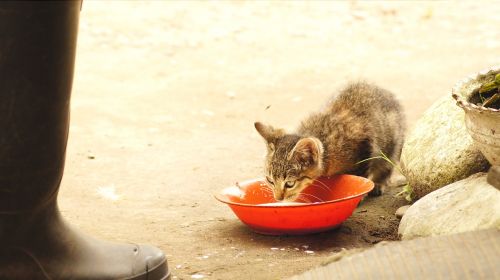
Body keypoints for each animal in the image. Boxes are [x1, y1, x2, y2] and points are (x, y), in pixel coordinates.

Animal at [256, 81, 404, 201]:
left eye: (289, 184)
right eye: (270, 181)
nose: (278, 198)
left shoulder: (365, 144)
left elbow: (360, 174)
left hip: (393, 143)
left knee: (386, 164)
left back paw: (379, 182)